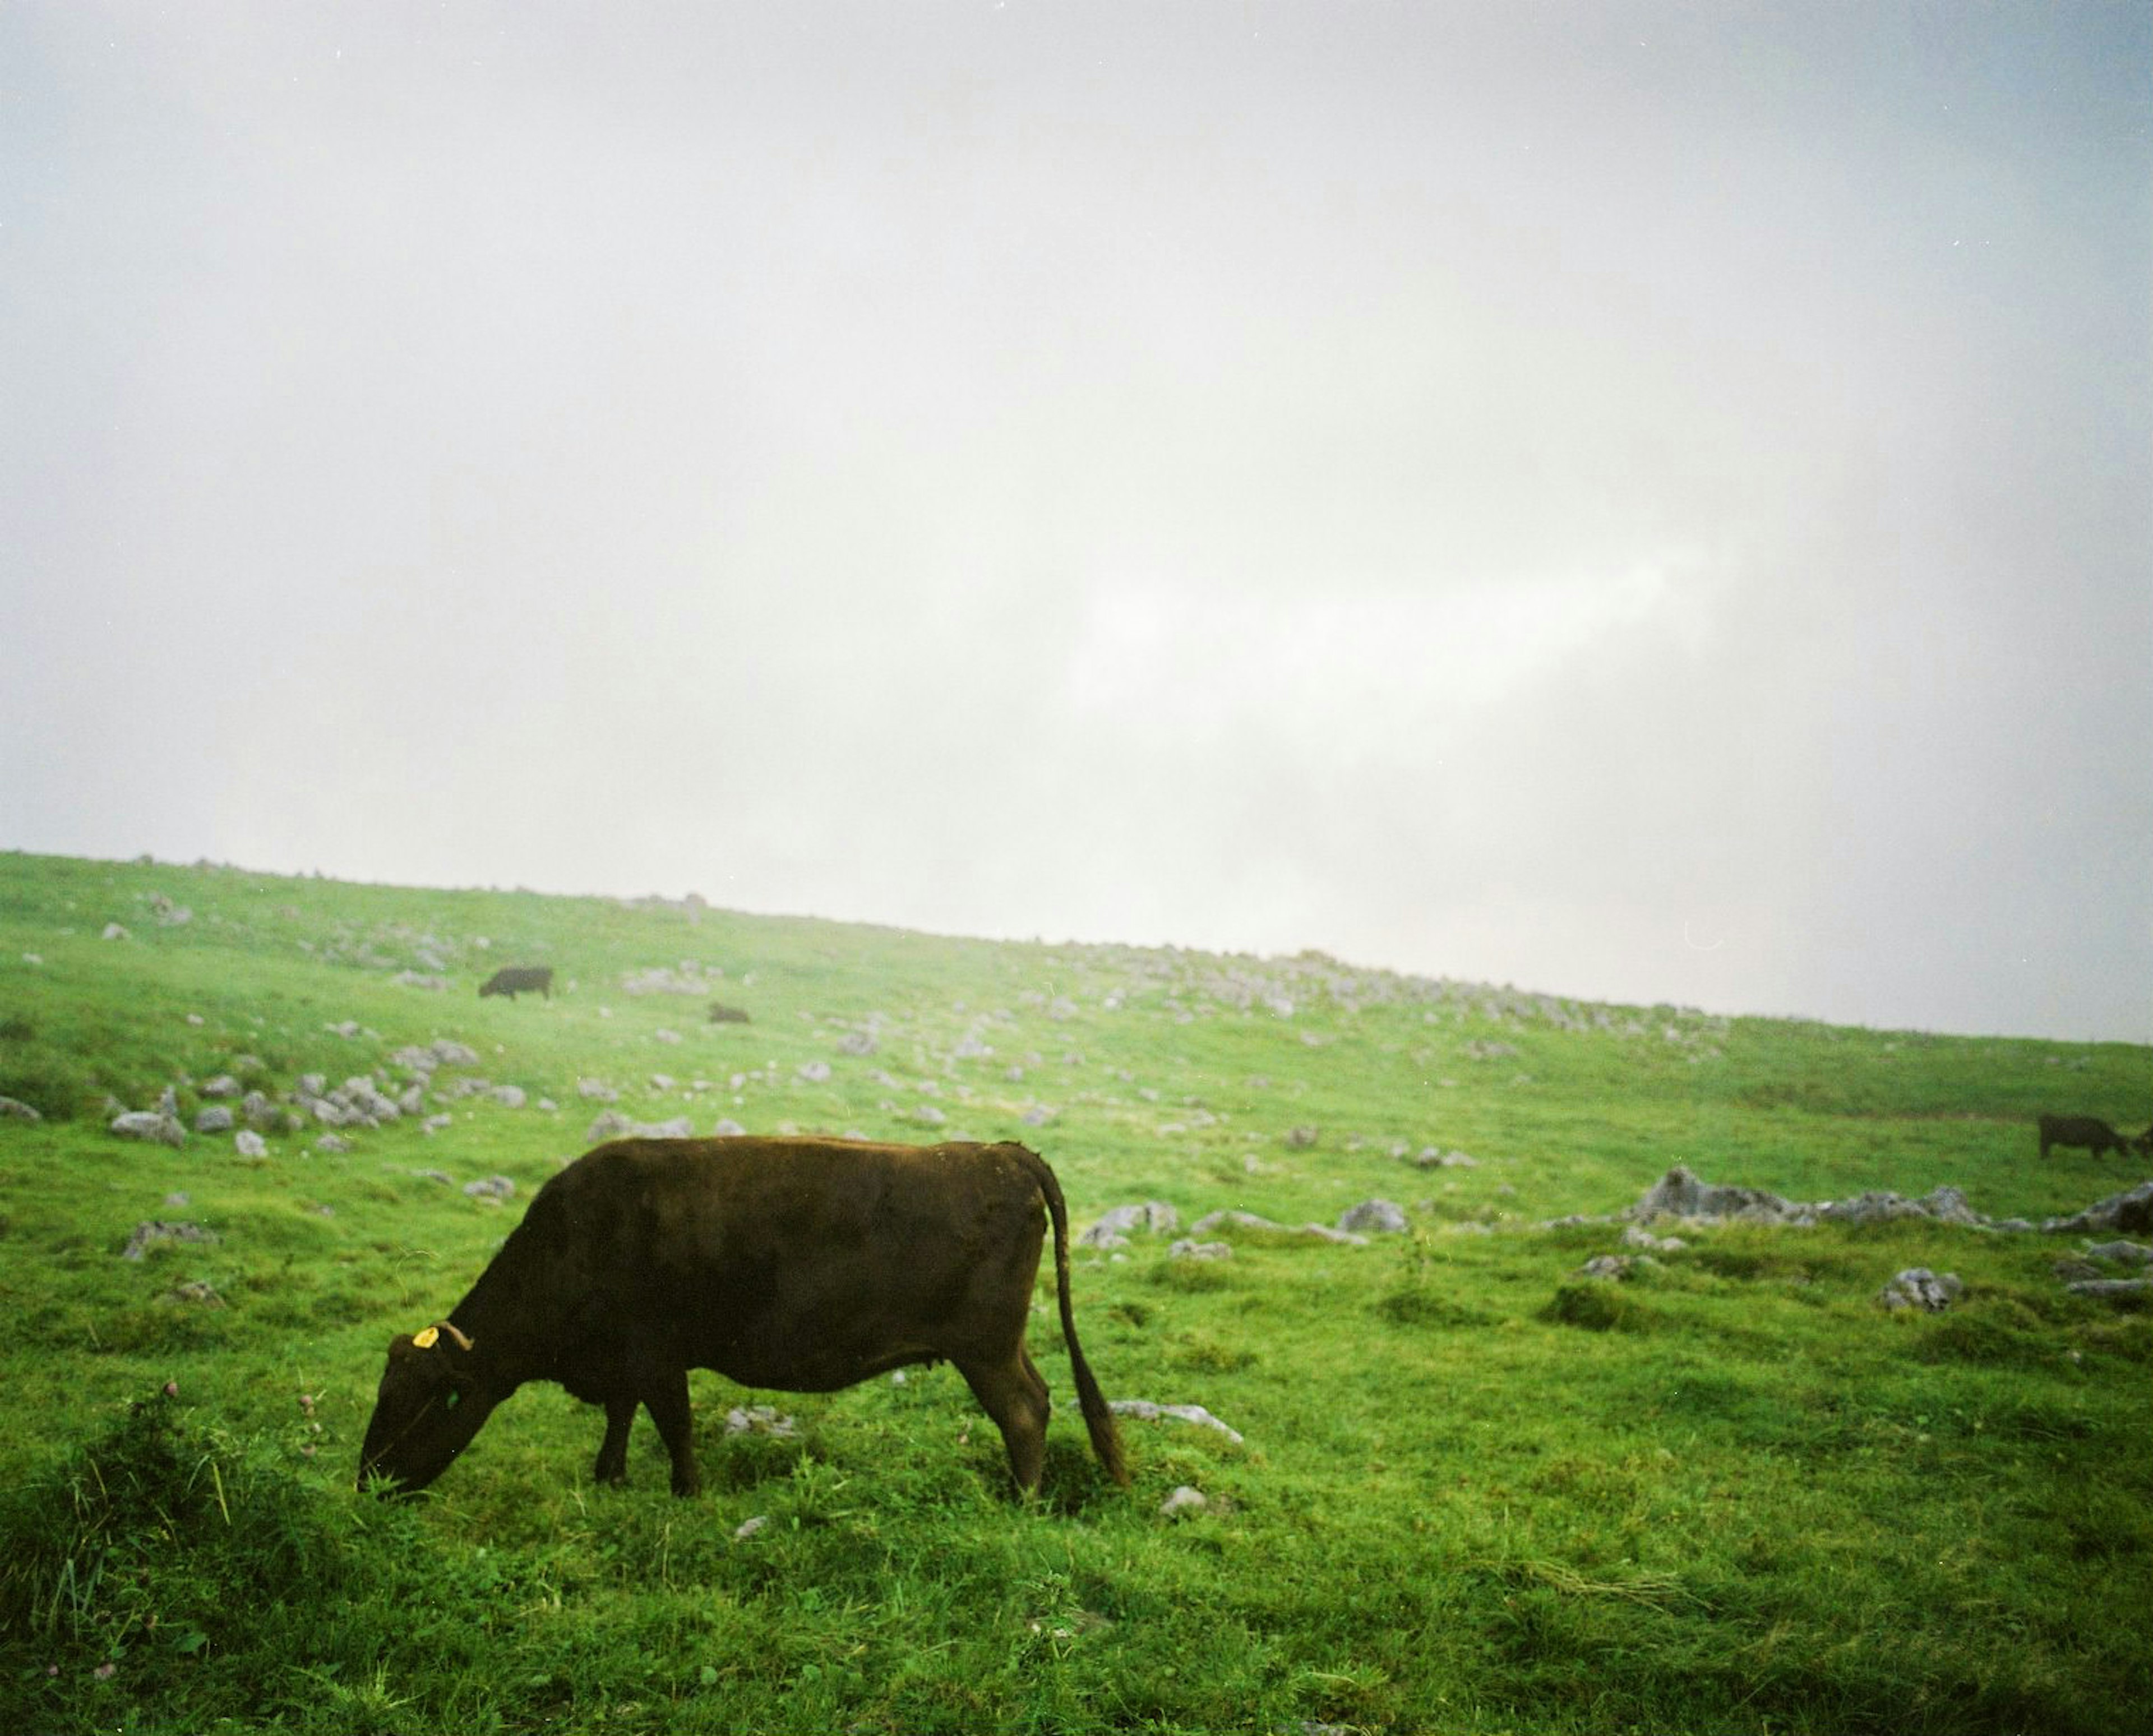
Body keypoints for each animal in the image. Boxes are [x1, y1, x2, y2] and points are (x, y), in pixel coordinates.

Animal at [357, 1146, 1128, 1499]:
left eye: (425, 1403)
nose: (368, 1483)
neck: (574, 1239)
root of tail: (1000, 1153)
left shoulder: (657, 1356)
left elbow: (673, 1426)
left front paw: (685, 1493)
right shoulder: (625, 1363)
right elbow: (621, 1418)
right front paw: (609, 1479)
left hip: (984, 1347)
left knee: (1024, 1412)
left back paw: (1021, 1502)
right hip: (1001, 1344)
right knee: (1040, 1398)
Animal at [2032, 1120, 2136, 1163]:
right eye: (2122, 1144)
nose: (2129, 1155)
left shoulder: (2095, 1146)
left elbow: (2096, 1155)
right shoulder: (2095, 1145)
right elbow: (2097, 1155)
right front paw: (2101, 1161)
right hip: (2047, 1139)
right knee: (2043, 1147)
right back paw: (2044, 1158)